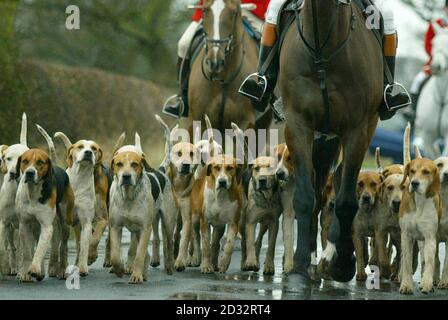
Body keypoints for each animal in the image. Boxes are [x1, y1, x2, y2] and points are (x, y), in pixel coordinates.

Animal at [185, 0, 272, 138]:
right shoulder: (200, 122)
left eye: (233, 13)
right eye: (205, 10)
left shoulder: (244, 123)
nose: (214, 62)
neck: (223, 78)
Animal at [280, 0, 382, 280]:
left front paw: (343, 262)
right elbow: (305, 197)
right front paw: (300, 264)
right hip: (322, 138)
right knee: (319, 184)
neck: (322, 51)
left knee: (338, 180)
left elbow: (346, 200)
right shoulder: (298, 125)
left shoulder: (356, 129)